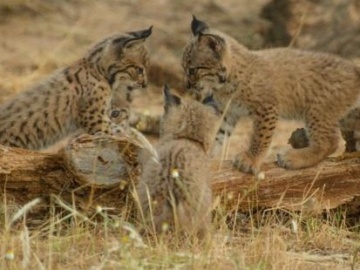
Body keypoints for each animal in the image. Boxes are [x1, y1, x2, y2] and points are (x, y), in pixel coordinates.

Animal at [183, 16, 360, 173]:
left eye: (192, 70)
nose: (187, 86)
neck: (224, 83)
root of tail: (353, 68)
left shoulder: (266, 108)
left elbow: (260, 136)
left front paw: (250, 160)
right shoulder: (228, 111)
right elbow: (216, 133)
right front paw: (204, 154)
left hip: (318, 110)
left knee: (329, 142)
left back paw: (293, 158)